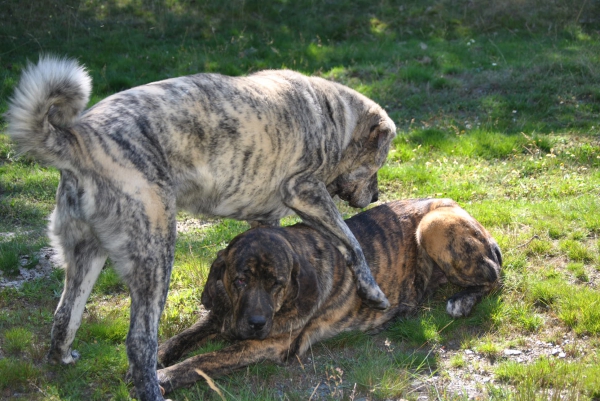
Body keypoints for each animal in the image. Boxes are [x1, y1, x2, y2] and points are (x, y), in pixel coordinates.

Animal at [8, 54, 398, 398]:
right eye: (377, 164)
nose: (376, 195)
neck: (332, 115)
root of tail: (77, 139)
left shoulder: (267, 218)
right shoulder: (305, 190)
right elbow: (351, 242)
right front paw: (375, 293)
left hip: (85, 256)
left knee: (64, 317)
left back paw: (62, 358)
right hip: (156, 255)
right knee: (139, 342)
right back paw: (152, 389)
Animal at [156, 198, 502, 392]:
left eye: (276, 283)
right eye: (240, 280)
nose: (255, 323)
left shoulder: (268, 344)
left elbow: (204, 359)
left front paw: (164, 377)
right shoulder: (224, 314)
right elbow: (183, 337)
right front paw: (158, 356)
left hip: (434, 224)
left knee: (494, 276)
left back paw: (462, 301)